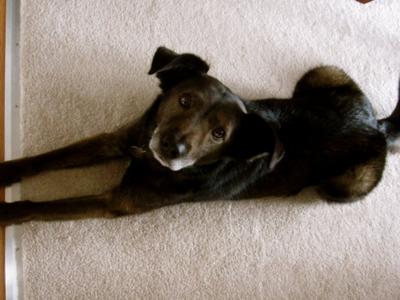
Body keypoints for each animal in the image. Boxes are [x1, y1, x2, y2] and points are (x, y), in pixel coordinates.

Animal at [0, 47, 400, 225]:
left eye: (219, 133)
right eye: (184, 100)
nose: (172, 148)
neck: (146, 156)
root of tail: (377, 125)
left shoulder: (116, 201)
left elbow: (40, 206)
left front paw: (5, 212)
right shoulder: (115, 139)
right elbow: (47, 158)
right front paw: (7, 171)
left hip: (345, 186)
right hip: (320, 74)